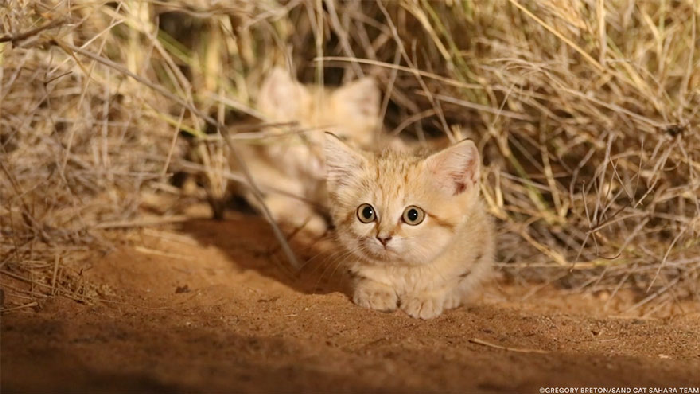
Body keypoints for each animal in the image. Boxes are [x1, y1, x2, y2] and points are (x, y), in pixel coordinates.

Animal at [326, 133, 494, 320]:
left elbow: (449, 280)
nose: (383, 238)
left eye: (413, 215)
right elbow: (365, 275)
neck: (402, 269)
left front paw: (426, 297)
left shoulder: (476, 248)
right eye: (366, 213)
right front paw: (376, 290)